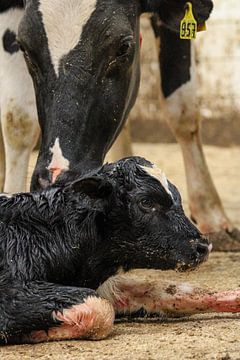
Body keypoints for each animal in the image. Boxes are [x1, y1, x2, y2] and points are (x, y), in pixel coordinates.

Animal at [0, 0, 238, 249]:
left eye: (123, 48)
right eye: (24, 48)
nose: (60, 180)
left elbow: (182, 108)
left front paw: (210, 212)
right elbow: (18, 119)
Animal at [2, 155, 240, 346]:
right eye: (146, 202)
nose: (203, 246)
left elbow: (169, 291)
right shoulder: (14, 293)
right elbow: (101, 310)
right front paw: (33, 334)